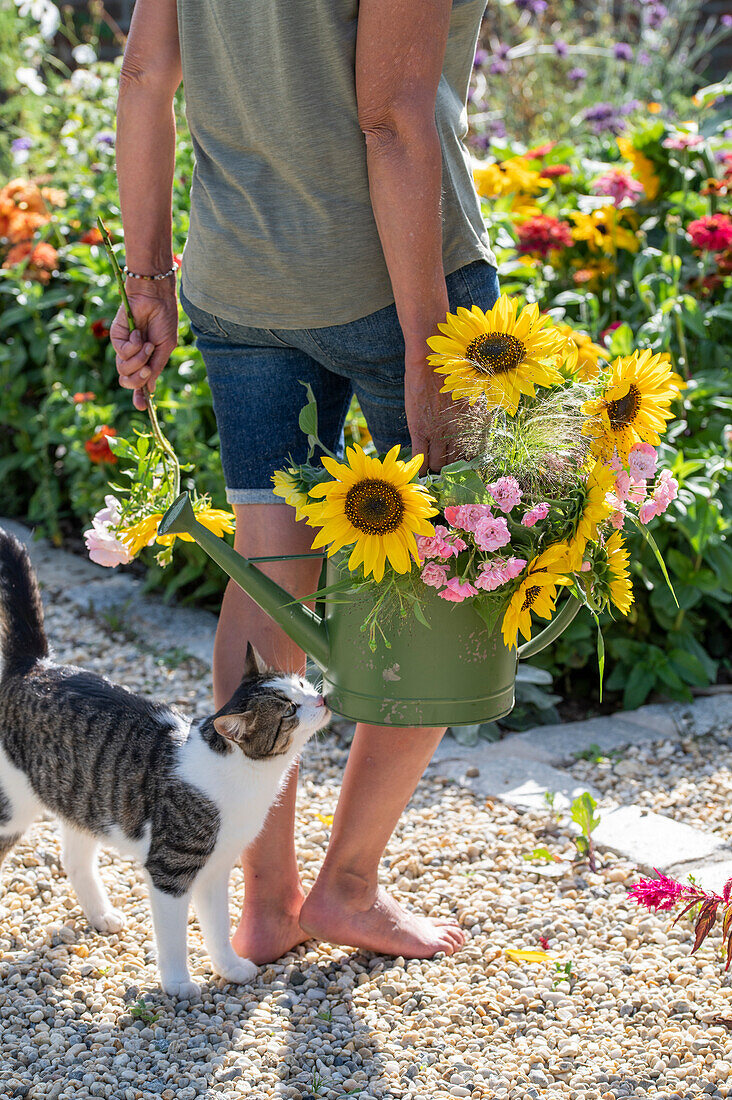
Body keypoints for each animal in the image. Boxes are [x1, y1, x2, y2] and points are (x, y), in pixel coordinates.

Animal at [0, 528, 328, 1003]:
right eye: (288, 711)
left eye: (302, 684)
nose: (320, 699)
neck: (247, 778)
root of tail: (34, 666)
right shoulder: (170, 869)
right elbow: (173, 935)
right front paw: (178, 984)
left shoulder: (217, 869)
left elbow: (218, 926)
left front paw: (230, 968)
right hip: (14, 807)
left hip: (84, 802)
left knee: (74, 860)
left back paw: (101, 917)